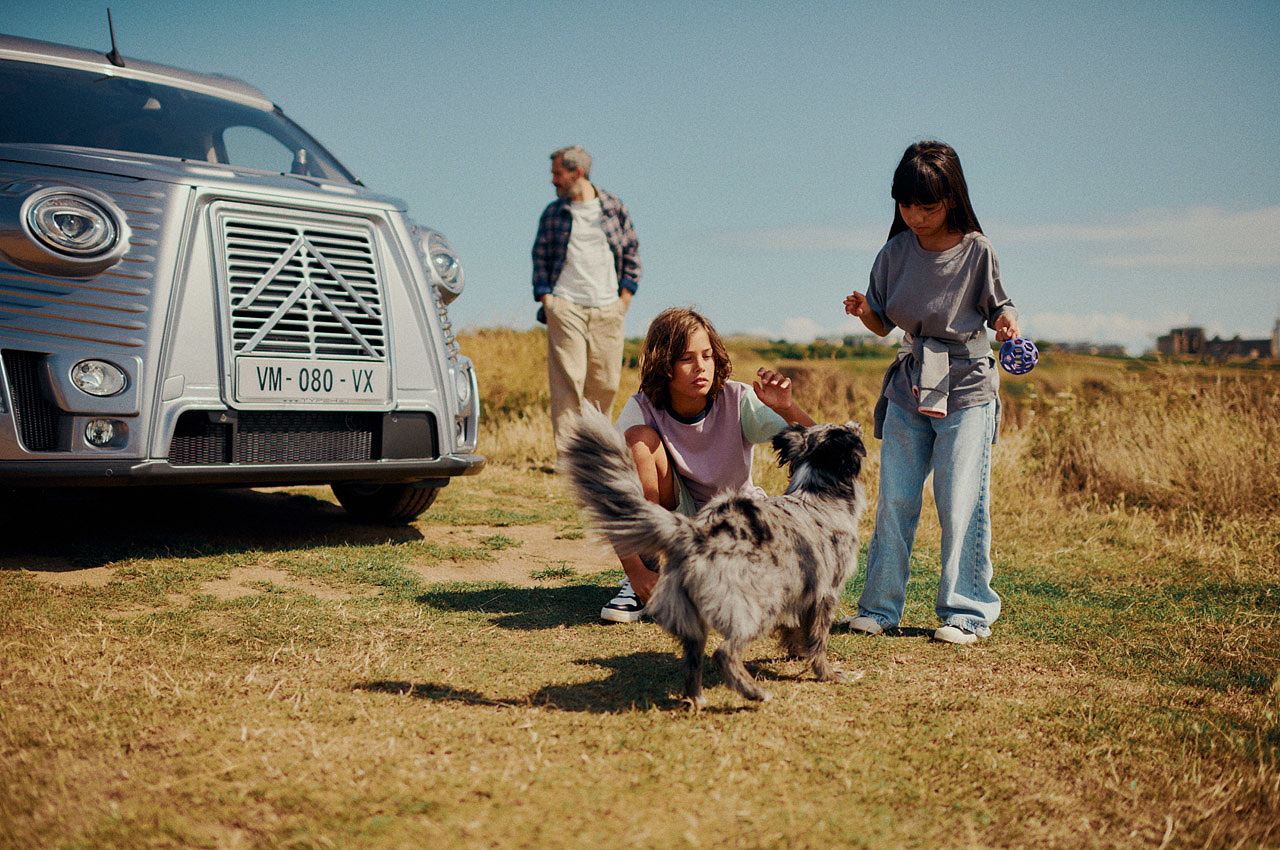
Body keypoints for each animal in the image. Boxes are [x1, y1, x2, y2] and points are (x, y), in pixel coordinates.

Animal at [560, 404, 870, 701]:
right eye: (847, 430)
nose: (859, 422)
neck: (818, 491)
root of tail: (694, 534)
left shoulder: (802, 594)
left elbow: (797, 632)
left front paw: (796, 651)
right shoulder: (826, 593)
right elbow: (818, 640)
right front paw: (826, 673)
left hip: (696, 619)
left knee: (692, 660)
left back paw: (696, 700)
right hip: (759, 608)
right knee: (725, 653)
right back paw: (755, 693)